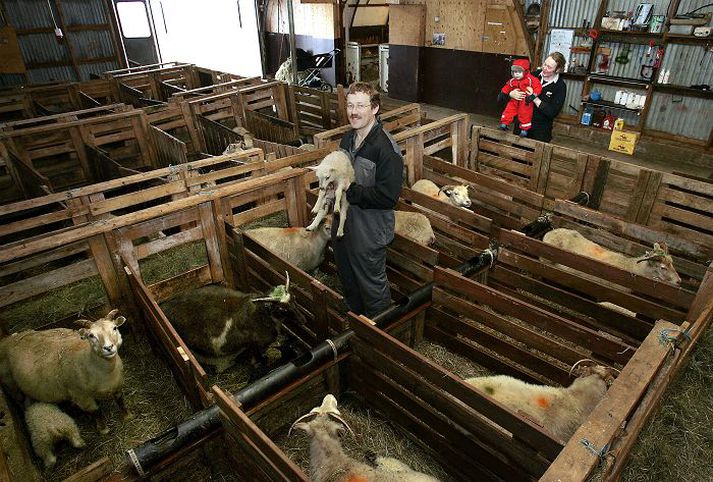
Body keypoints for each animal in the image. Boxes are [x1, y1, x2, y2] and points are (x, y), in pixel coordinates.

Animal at [0, 310, 131, 434]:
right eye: (91, 335)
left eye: (114, 328)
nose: (108, 348)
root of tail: (6, 339)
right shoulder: (81, 397)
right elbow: (96, 411)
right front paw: (103, 429)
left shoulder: (118, 384)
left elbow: (120, 401)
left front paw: (127, 416)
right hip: (10, 384)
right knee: (20, 402)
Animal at [160, 274, 304, 370]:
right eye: (281, 309)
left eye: (294, 297)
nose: (303, 320)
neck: (262, 314)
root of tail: (165, 306)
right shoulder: (258, 345)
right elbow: (258, 360)